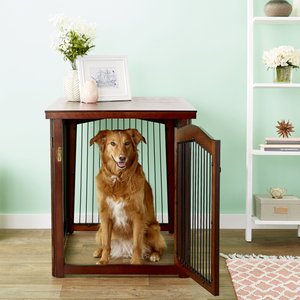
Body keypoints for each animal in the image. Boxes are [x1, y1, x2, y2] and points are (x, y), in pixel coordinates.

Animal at [90, 127, 168, 264]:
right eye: (112, 143)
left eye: (127, 143)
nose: (122, 158)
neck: (119, 179)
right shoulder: (105, 215)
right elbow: (106, 244)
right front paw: (104, 260)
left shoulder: (138, 215)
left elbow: (137, 244)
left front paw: (135, 262)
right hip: (99, 231)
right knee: (103, 243)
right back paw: (98, 252)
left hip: (153, 229)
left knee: (160, 248)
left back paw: (154, 255)